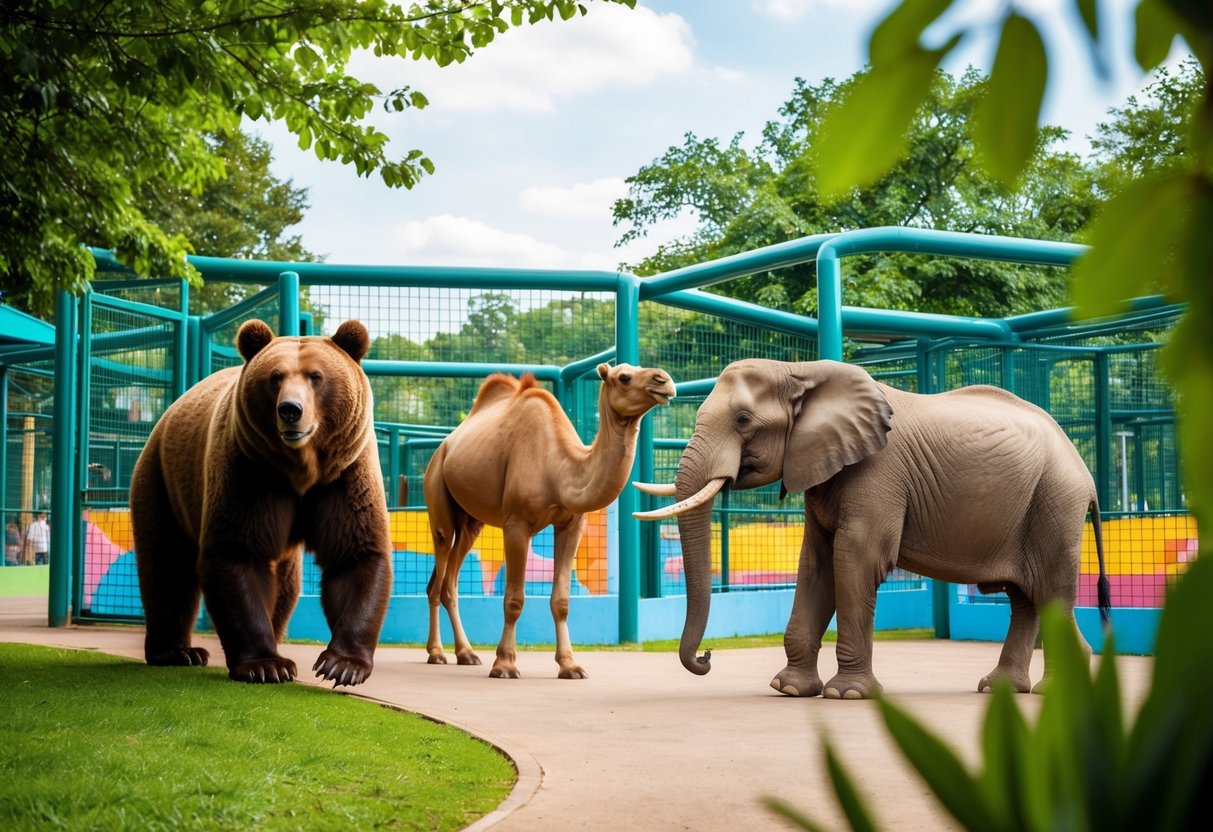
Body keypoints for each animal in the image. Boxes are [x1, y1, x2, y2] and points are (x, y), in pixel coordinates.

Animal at [130, 319, 392, 686]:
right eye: (275, 376)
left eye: (316, 376)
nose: (290, 410)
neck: (301, 470)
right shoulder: (249, 472)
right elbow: (239, 553)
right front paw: (266, 665)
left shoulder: (344, 477)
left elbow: (354, 556)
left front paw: (342, 665)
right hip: (164, 481)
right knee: (168, 564)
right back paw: (178, 652)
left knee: (284, 583)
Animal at [423, 362, 676, 679]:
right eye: (624, 377)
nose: (665, 380)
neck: (557, 470)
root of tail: (443, 447)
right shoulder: (516, 523)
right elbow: (514, 598)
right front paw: (505, 664)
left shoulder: (572, 524)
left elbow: (562, 601)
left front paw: (570, 665)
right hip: (439, 500)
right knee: (439, 573)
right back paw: (436, 653)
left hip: (470, 521)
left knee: (449, 583)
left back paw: (466, 654)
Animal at [635, 358, 1110, 699]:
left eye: (743, 421)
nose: (707, 656)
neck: (800, 370)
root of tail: (1085, 473)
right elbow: (817, 564)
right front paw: (788, 689)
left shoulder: (879, 472)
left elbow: (855, 560)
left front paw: (845, 695)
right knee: (1025, 598)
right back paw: (1002, 690)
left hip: (1054, 501)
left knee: (1049, 590)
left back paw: (1058, 691)